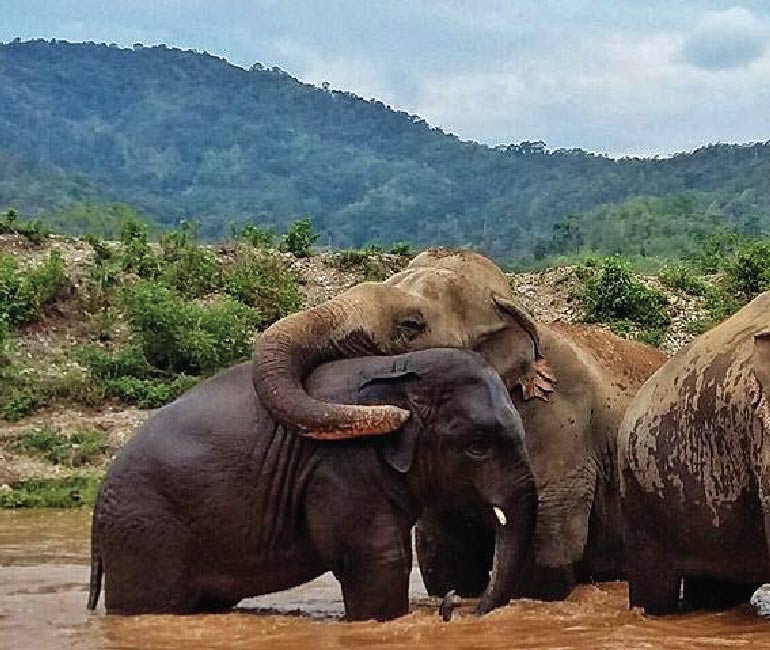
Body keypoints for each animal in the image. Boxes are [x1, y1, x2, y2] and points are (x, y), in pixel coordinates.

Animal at [88, 346, 536, 620]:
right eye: (478, 446)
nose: (455, 603)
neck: (397, 365)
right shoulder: (342, 466)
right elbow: (379, 559)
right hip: (144, 532)